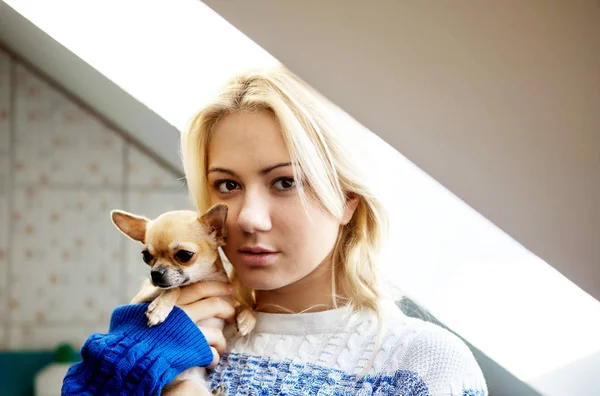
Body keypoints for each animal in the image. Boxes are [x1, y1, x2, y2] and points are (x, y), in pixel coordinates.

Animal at [110, 204, 255, 392]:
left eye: (185, 255)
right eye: (146, 256)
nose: (155, 273)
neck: (203, 279)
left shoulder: (227, 311)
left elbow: (241, 305)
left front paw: (248, 319)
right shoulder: (142, 296)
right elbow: (175, 288)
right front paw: (160, 308)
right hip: (188, 386)